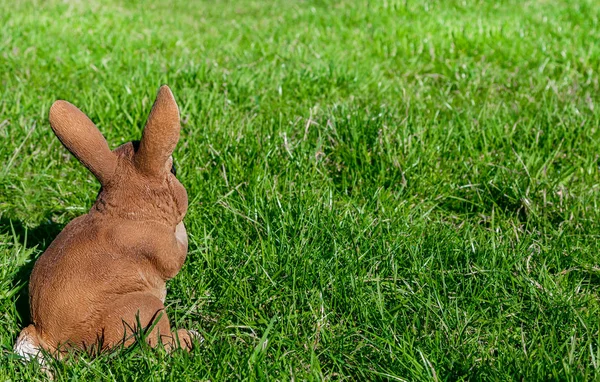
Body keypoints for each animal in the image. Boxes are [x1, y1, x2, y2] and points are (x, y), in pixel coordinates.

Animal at [12, 85, 197, 362]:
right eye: (173, 171)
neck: (124, 210)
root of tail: (47, 339)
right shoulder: (164, 250)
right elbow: (176, 256)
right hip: (145, 308)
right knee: (160, 345)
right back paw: (190, 338)